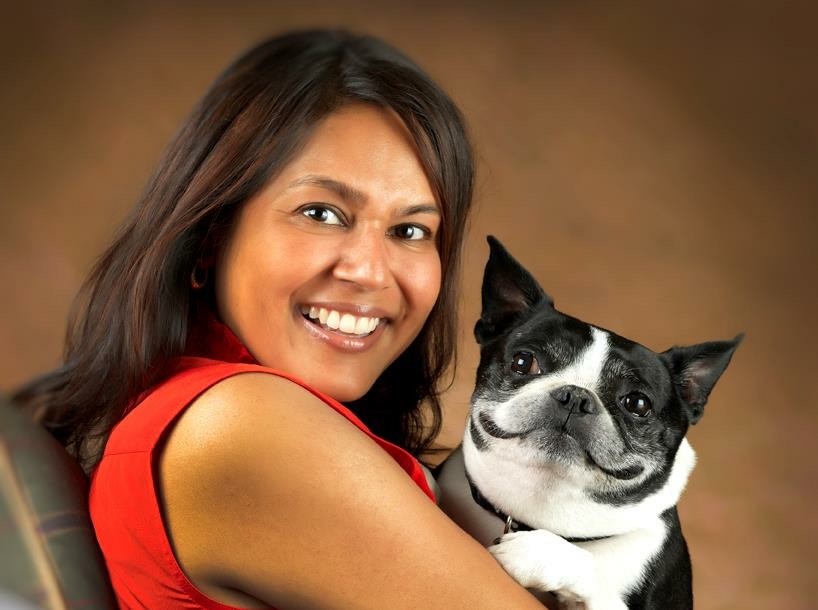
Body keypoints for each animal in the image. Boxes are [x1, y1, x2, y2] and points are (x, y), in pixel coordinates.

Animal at [440, 235, 740, 604]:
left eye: (637, 403)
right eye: (523, 362)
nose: (576, 396)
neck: (540, 513)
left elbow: (590, 567)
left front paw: (536, 554)